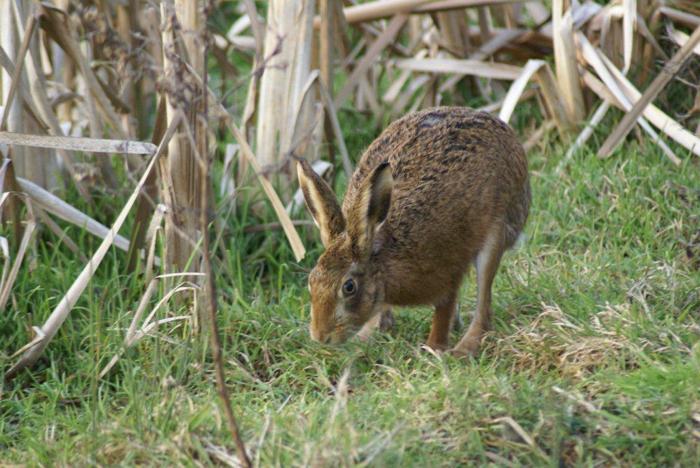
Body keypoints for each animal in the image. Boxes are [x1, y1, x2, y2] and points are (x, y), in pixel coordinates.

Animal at [296, 107, 530, 357]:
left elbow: (443, 311)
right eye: (311, 281)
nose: (321, 337)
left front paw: (434, 348)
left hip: (497, 231)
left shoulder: (448, 271)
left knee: (483, 305)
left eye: (349, 287)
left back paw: (464, 349)